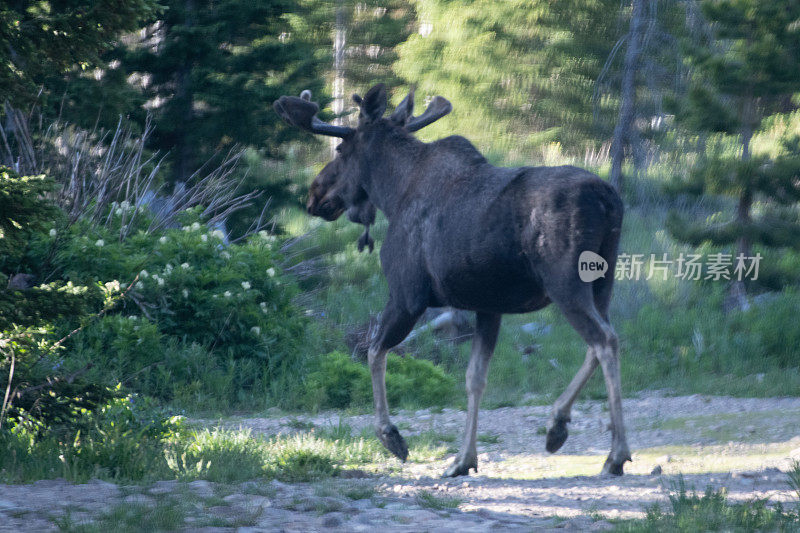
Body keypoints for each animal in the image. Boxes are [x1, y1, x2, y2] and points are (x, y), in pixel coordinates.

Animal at [276, 85, 632, 476]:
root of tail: (609, 199)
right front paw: (464, 459)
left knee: (606, 340)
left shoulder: (406, 294)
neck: (392, 193)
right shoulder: (488, 305)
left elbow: (373, 351)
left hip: (566, 282)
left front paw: (392, 436)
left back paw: (615, 453)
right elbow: (474, 378)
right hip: (603, 282)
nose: (314, 195)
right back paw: (557, 425)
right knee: (599, 342)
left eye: (341, 151)